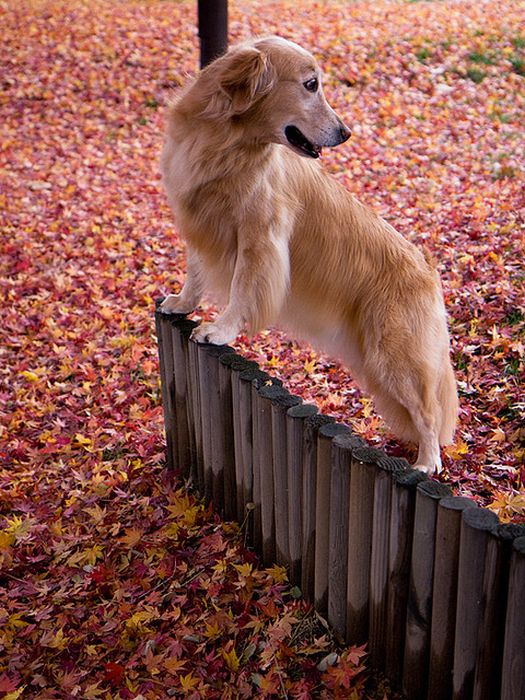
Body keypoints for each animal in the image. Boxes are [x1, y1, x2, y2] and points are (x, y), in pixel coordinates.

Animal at [159, 35, 454, 474]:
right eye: (311, 85)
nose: (346, 133)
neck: (227, 143)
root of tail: (429, 273)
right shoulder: (200, 224)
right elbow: (194, 273)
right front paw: (182, 302)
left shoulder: (261, 237)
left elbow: (243, 288)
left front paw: (222, 328)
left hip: (396, 358)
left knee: (429, 412)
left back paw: (426, 462)